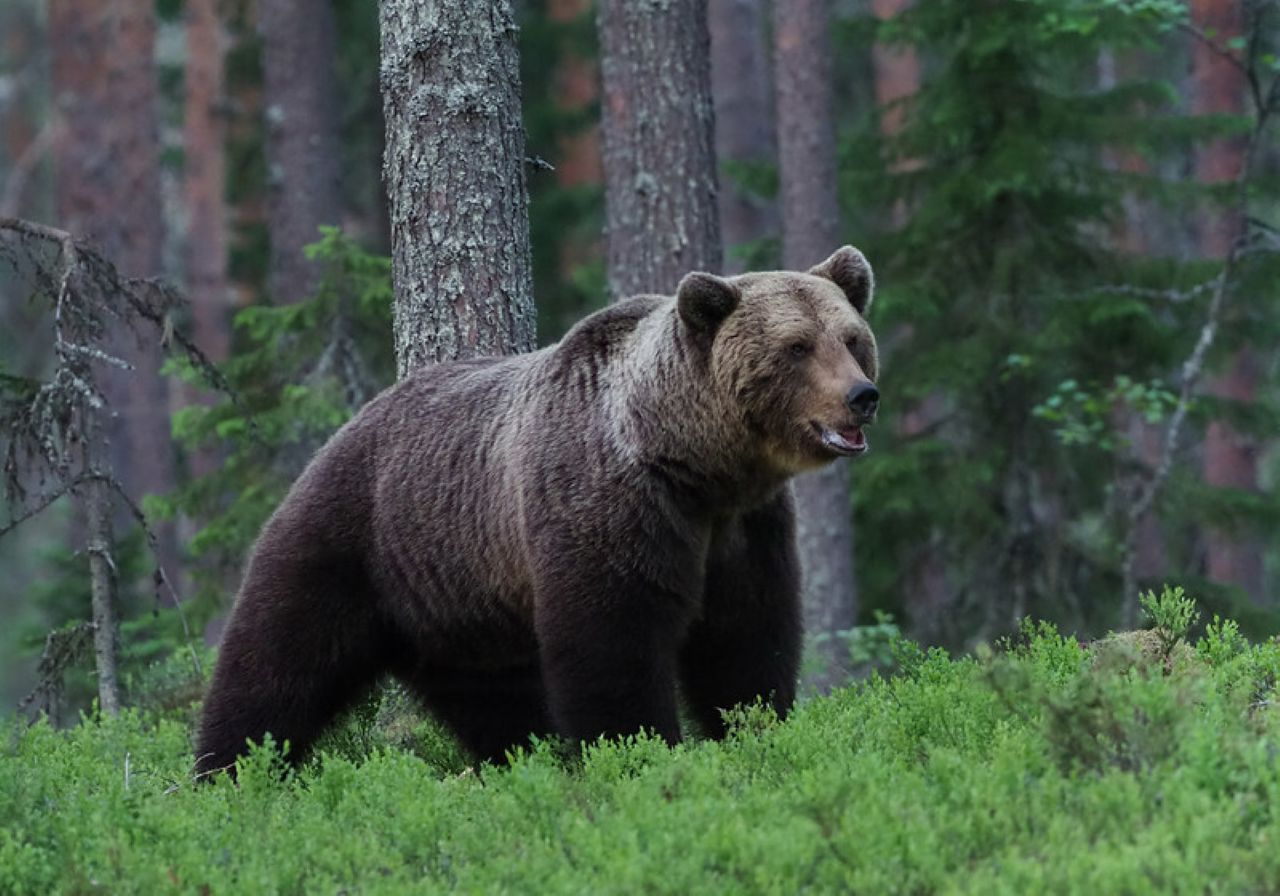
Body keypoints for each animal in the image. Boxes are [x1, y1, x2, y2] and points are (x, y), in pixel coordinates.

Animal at [194, 245, 880, 777]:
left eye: (851, 339)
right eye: (796, 347)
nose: (862, 396)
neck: (695, 465)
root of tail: (346, 426)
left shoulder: (745, 529)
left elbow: (746, 640)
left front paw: (755, 727)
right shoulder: (610, 506)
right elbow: (613, 646)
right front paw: (638, 751)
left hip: (457, 606)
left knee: (495, 701)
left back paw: (519, 760)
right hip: (351, 539)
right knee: (276, 663)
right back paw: (228, 772)